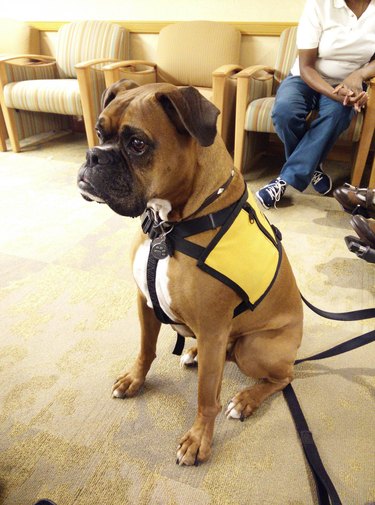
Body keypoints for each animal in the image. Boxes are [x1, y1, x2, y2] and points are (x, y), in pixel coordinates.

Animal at [78, 81, 304, 464]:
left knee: (283, 377)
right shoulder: (145, 302)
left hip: (254, 348)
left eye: (137, 143)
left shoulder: (213, 327)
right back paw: (195, 354)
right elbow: (146, 349)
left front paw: (198, 440)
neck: (169, 226)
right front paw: (134, 380)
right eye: (99, 132)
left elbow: (206, 397)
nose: (94, 155)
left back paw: (246, 400)